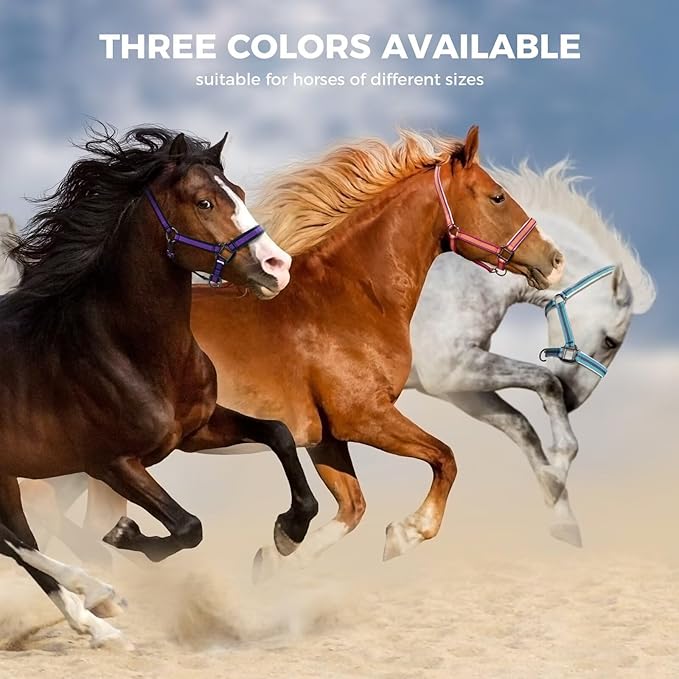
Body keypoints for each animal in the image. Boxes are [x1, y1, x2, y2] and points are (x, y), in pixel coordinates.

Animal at [0, 124, 318, 646]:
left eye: (239, 192)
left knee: (18, 540)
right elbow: (188, 527)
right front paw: (125, 535)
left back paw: (99, 622)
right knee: (16, 543)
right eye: (204, 202)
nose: (278, 266)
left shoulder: (196, 430)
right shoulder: (112, 463)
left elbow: (279, 435)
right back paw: (98, 591)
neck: (131, 353)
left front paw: (288, 531)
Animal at [30, 125, 565, 574]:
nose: (554, 260)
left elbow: (353, 506)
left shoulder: (327, 436)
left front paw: (276, 553)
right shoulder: (364, 417)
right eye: (497, 197)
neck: (351, 297)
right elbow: (444, 458)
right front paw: (406, 533)